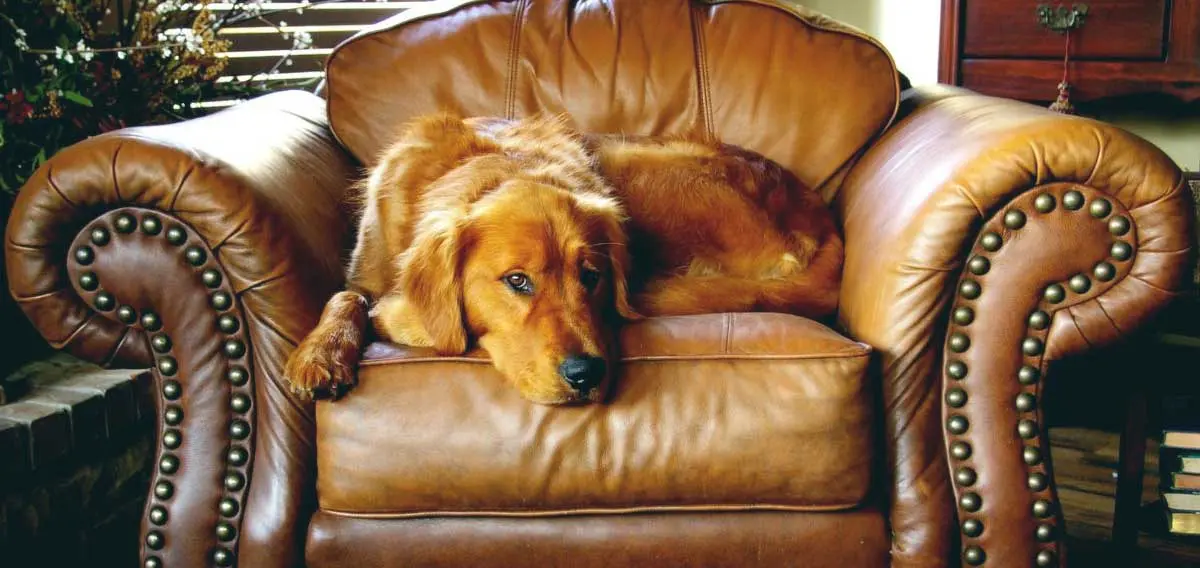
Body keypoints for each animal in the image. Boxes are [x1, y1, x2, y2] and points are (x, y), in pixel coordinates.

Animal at [284, 112, 840, 403]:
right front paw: (321, 353)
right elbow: (346, 296)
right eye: (517, 281)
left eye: (591, 276)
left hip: (631, 162)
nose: (586, 374)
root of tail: (821, 218)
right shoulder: (367, 271)